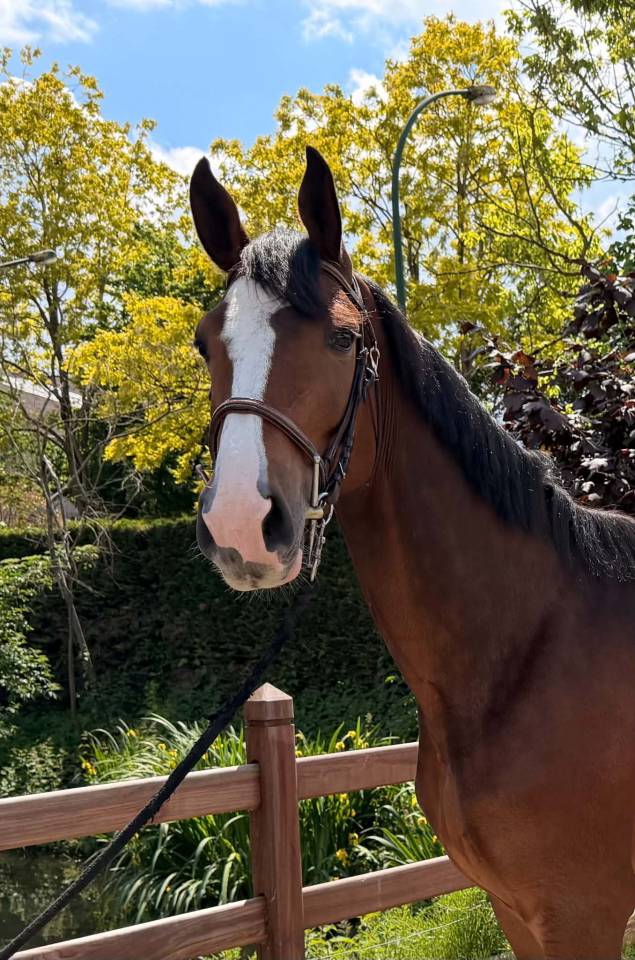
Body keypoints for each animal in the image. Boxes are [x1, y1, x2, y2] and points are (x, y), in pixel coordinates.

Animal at [188, 145, 635, 959]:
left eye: (342, 338)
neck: (530, 652)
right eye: (207, 342)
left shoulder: (581, 915)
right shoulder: (517, 910)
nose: (241, 523)